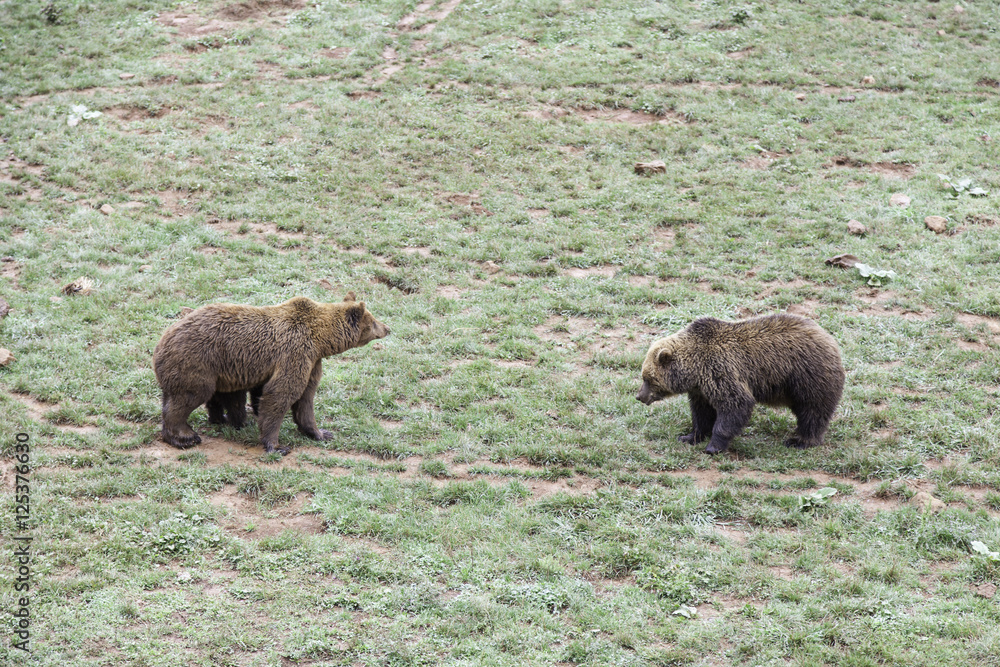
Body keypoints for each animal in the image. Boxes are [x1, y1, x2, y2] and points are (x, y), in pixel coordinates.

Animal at [154, 294, 388, 456]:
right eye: (373, 321)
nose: (387, 328)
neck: (320, 340)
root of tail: (160, 344)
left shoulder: (312, 362)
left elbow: (305, 399)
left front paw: (321, 433)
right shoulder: (295, 353)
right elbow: (281, 395)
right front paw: (277, 445)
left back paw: (224, 420)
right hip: (196, 361)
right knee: (189, 396)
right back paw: (184, 437)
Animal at [636, 314, 840, 454]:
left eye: (648, 378)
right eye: (644, 376)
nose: (639, 396)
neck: (695, 370)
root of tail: (829, 338)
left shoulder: (720, 371)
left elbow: (735, 405)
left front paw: (713, 446)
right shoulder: (702, 390)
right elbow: (702, 413)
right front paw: (689, 436)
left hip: (807, 376)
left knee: (812, 410)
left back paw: (800, 441)